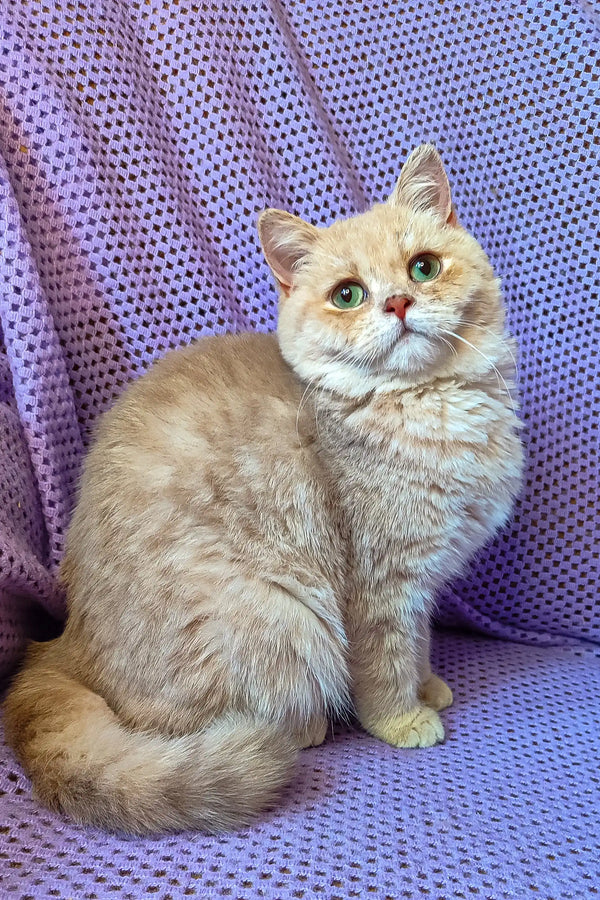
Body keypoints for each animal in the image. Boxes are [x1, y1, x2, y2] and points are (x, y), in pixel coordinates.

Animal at [3, 142, 520, 836]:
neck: (425, 406)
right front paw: (404, 717)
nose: (398, 303)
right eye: (348, 294)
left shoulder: (420, 581)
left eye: (424, 266)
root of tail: (67, 644)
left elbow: (419, 643)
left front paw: (429, 682)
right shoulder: (378, 583)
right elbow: (386, 660)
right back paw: (306, 728)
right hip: (276, 611)